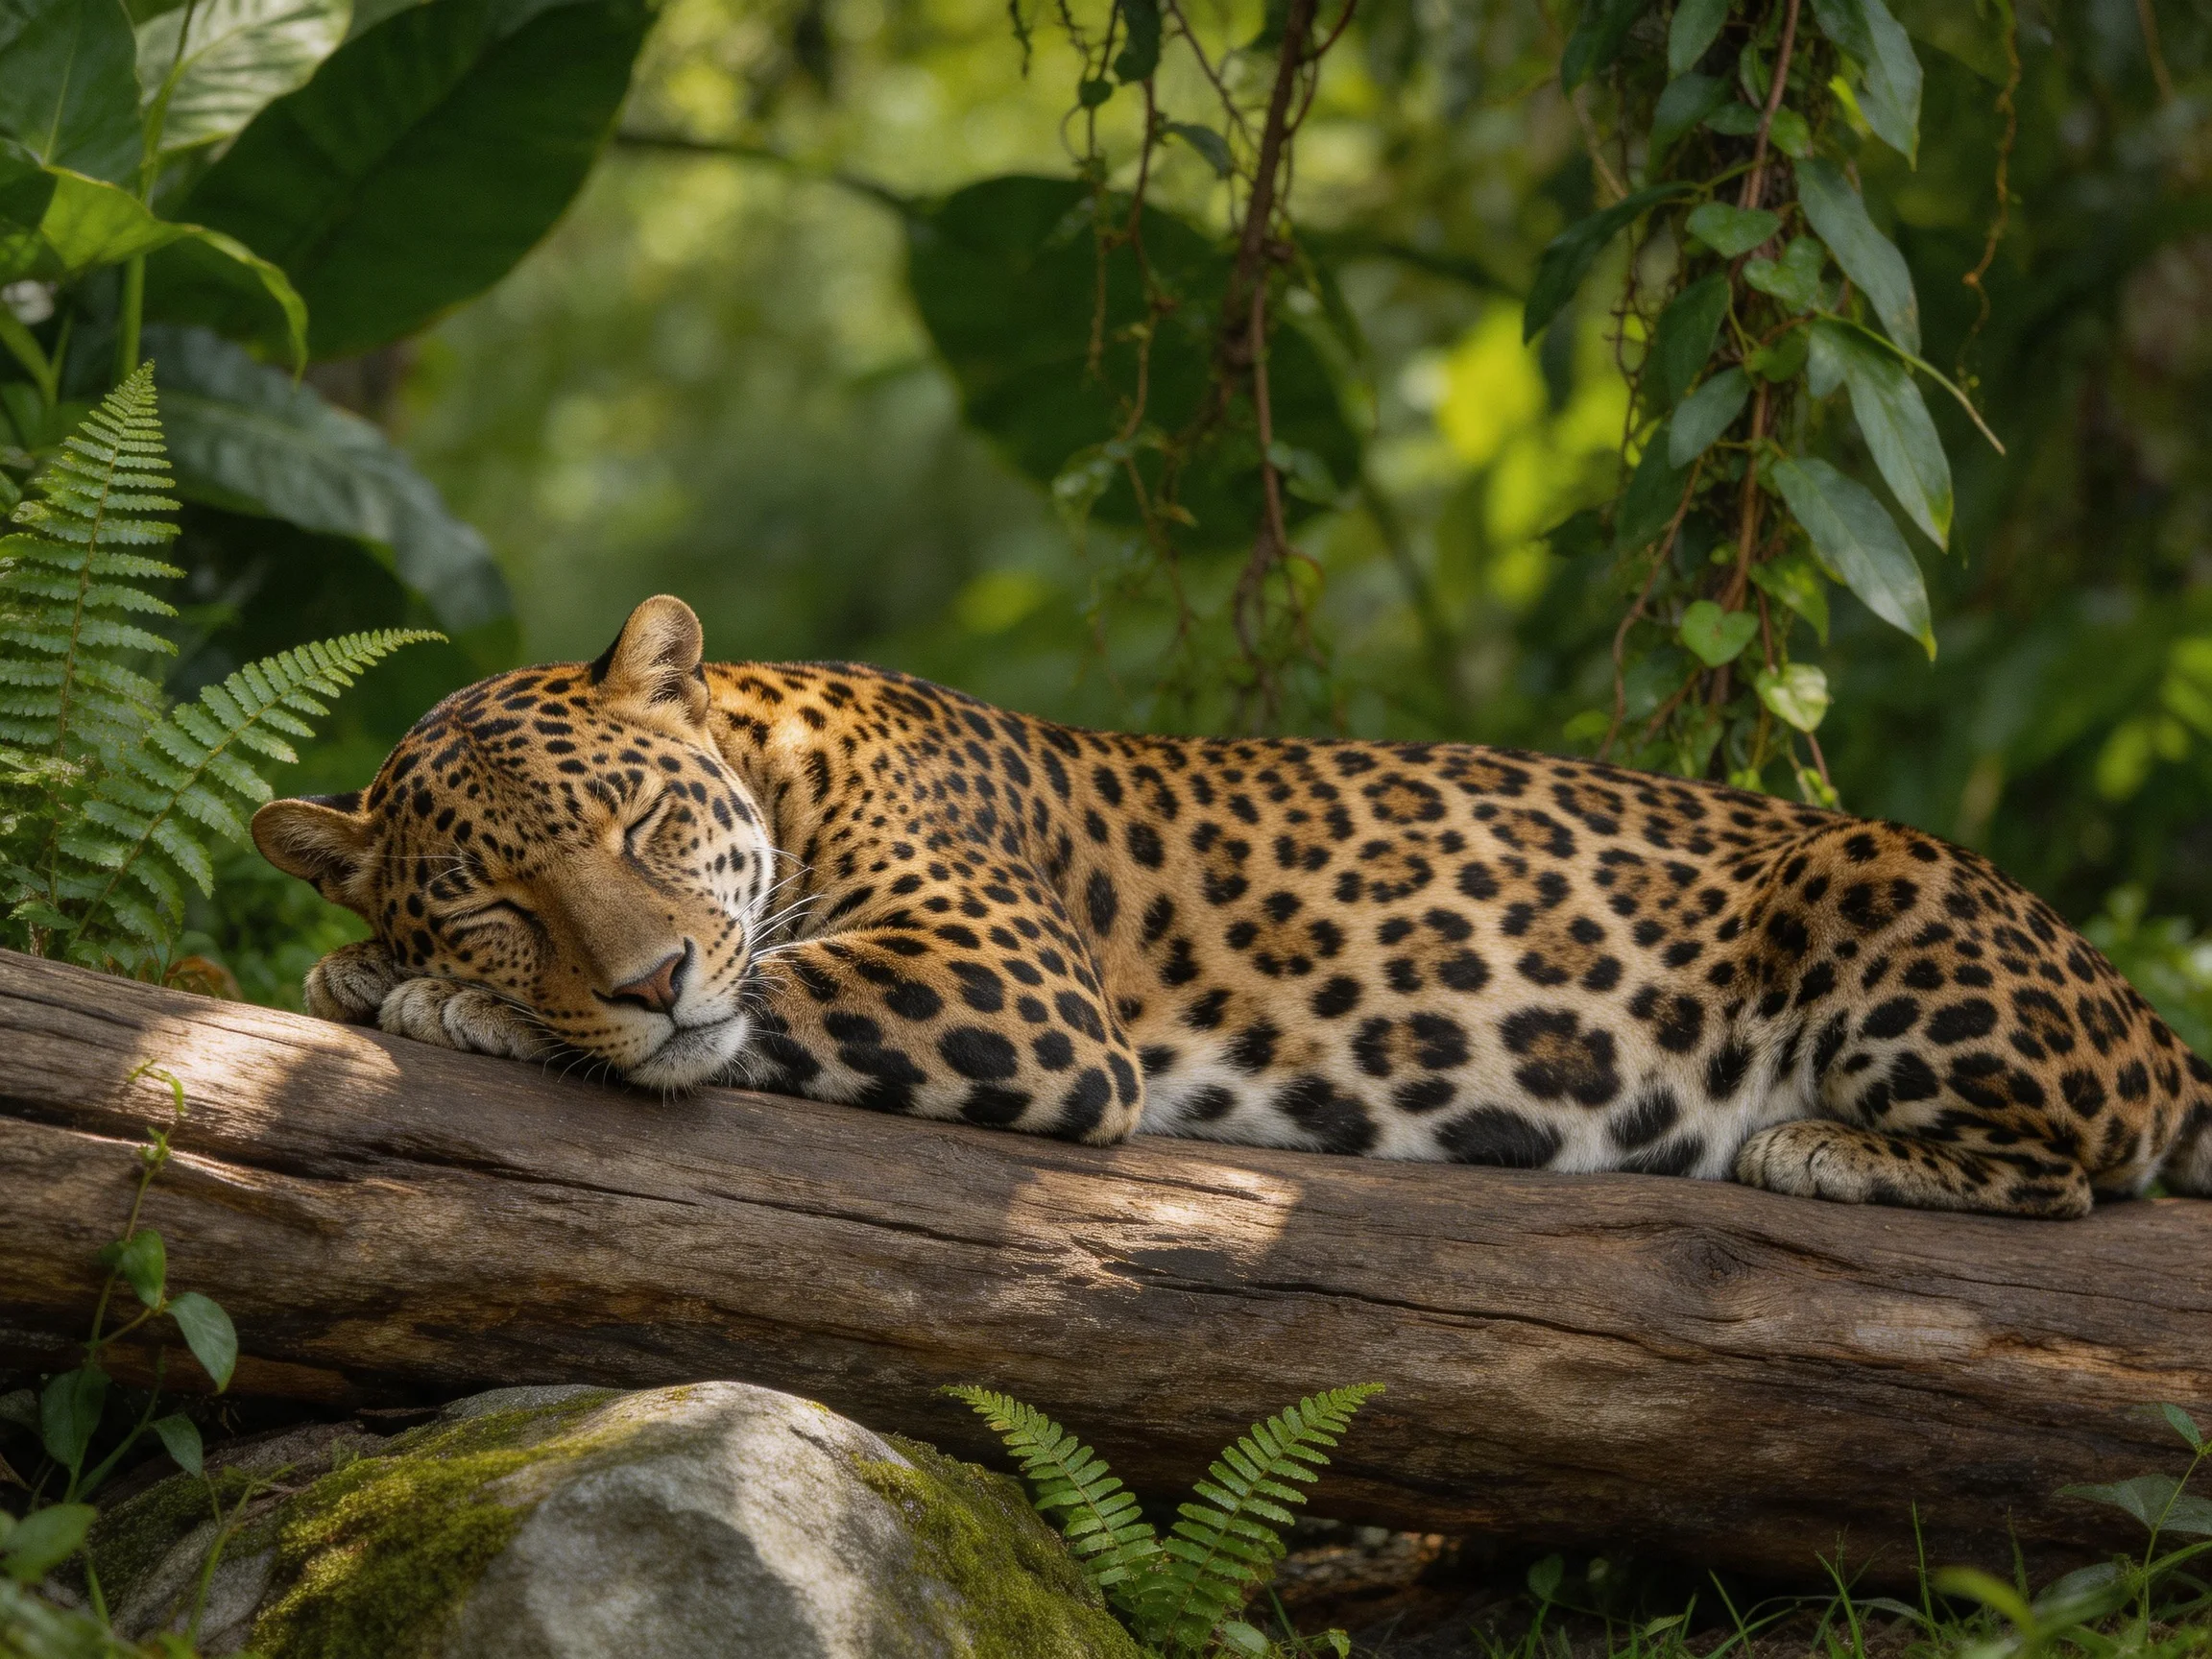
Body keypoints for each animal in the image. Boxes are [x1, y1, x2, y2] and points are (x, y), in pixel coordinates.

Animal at [252, 594, 2212, 1219]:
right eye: (495, 898)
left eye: (650, 822)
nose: (649, 977)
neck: (774, 746)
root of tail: (2145, 1015)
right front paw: (386, 967)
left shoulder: (1007, 987)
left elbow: (766, 996)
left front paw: (424, 1001)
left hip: (1879, 882)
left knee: (2073, 1168)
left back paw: (1816, 1144)